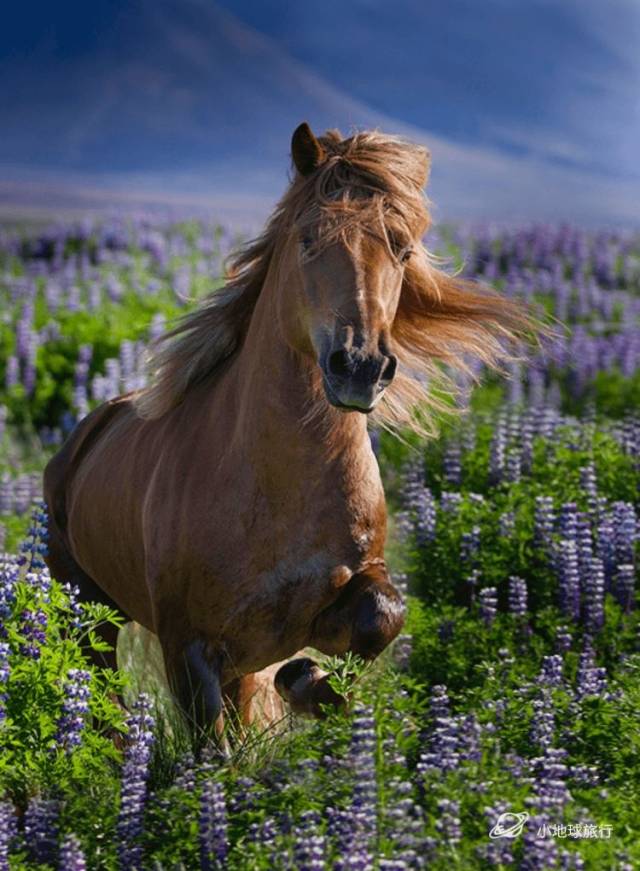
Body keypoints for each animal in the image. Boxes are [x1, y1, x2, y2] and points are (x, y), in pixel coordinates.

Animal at [41, 121, 528, 728]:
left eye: (402, 248)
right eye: (309, 238)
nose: (360, 366)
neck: (277, 486)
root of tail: (84, 435)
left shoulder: (327, 599)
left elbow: (379, 616)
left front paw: (308, 679)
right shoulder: (189, 647)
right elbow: (210, 747)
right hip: (85, 607)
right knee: (104, 697)